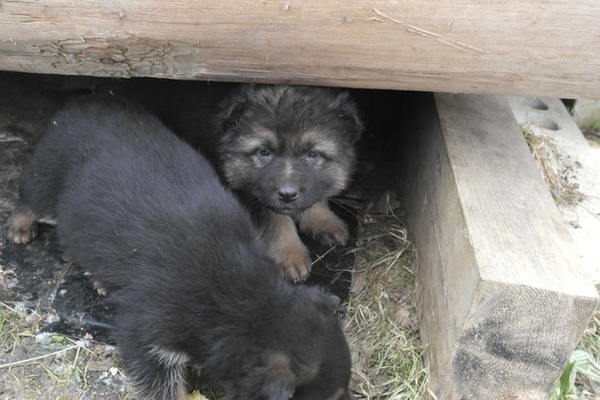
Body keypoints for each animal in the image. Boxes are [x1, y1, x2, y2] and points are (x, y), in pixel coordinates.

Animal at [8, 97, 352, 400]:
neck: (241, 297)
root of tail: (80, 103)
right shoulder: (145, 334)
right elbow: (160, 382)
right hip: (48, 174)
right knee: (29, 198)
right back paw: (20, 227)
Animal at [209, 84, 364, 282]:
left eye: (312, 154)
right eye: (264, 151)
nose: (287, 195)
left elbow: (314, 196)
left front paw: (324, 220)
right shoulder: (252, 194)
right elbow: (276, 221)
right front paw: (290, 255)